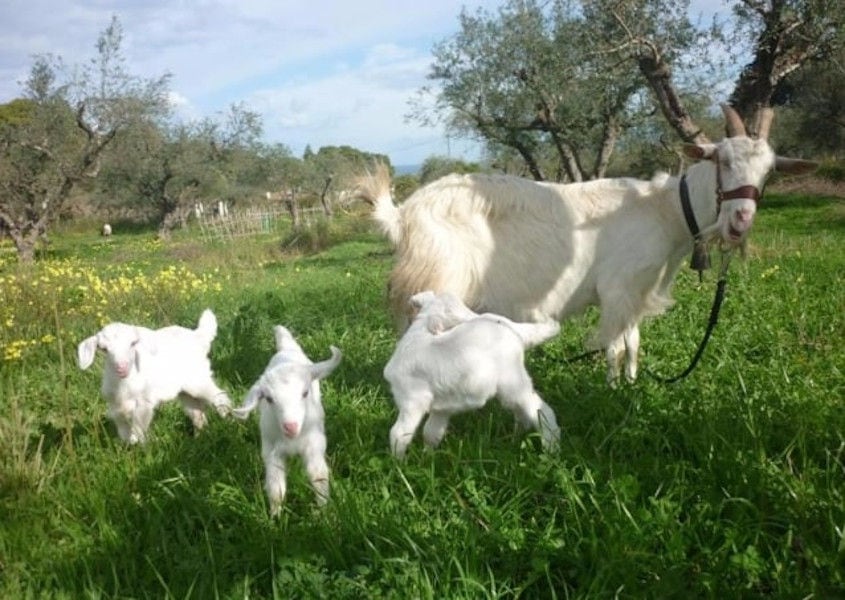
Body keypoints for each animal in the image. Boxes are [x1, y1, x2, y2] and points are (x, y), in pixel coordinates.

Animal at [77, 312, 231, 442]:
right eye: (103, 349)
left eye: (133, 343)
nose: (122, 368)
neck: (124, 385)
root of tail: (197, 337)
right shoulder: (116, 407)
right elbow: (123, 431)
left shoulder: (144, 403)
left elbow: (139, 431)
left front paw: (143, 450)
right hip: (185, 392)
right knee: (197, 413)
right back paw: (198, 438)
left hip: (197, 379)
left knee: (219, 396)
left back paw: (227, 419)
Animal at [358, 105, 816, 382]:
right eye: (722, 160)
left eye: (769, 171)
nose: (740, 220)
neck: (664, 210)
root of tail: (403, 214)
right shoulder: (617, 289)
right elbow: (613, 345)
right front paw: (612, 390)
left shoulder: (636, 291)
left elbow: (633, 343)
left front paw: (632, 384)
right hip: (438, 279)